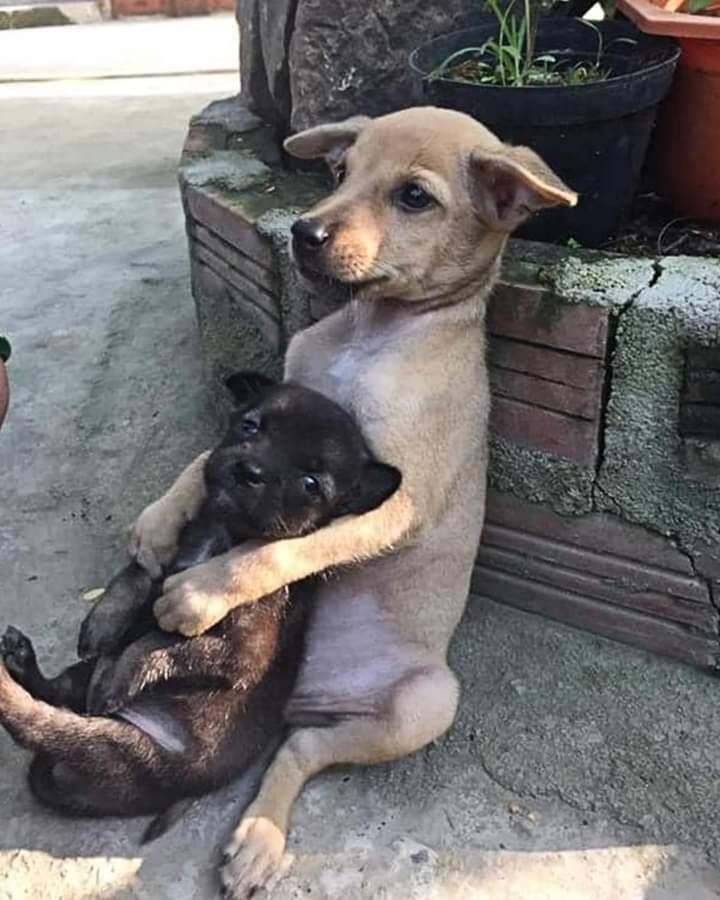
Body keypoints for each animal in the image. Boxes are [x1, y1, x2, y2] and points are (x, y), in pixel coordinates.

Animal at [0, 372, 400, 836]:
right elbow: (136, 576)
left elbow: (162, 642)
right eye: (250, 426)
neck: (223, 531)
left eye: (311, 484)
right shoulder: (169, 557)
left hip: (123, 750)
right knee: (57, 691)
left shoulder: (240, 650)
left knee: (42, 724)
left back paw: (13, 687)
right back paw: (21, 659)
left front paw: (121, 675)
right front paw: (103, 622)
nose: (249, 470)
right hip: (83, 689)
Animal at [129, 109, 576, 896]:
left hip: (427, 703)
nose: (303, 230)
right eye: (341, 172)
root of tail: (310, 700)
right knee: (296, 746)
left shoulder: (399, 501)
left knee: (304, 751)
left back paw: (263, 837)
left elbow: (287, 546)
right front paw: (161, 520)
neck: (371, 333)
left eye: (414, 198)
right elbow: (205, 460)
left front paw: (201, 594)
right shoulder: (273, 401)